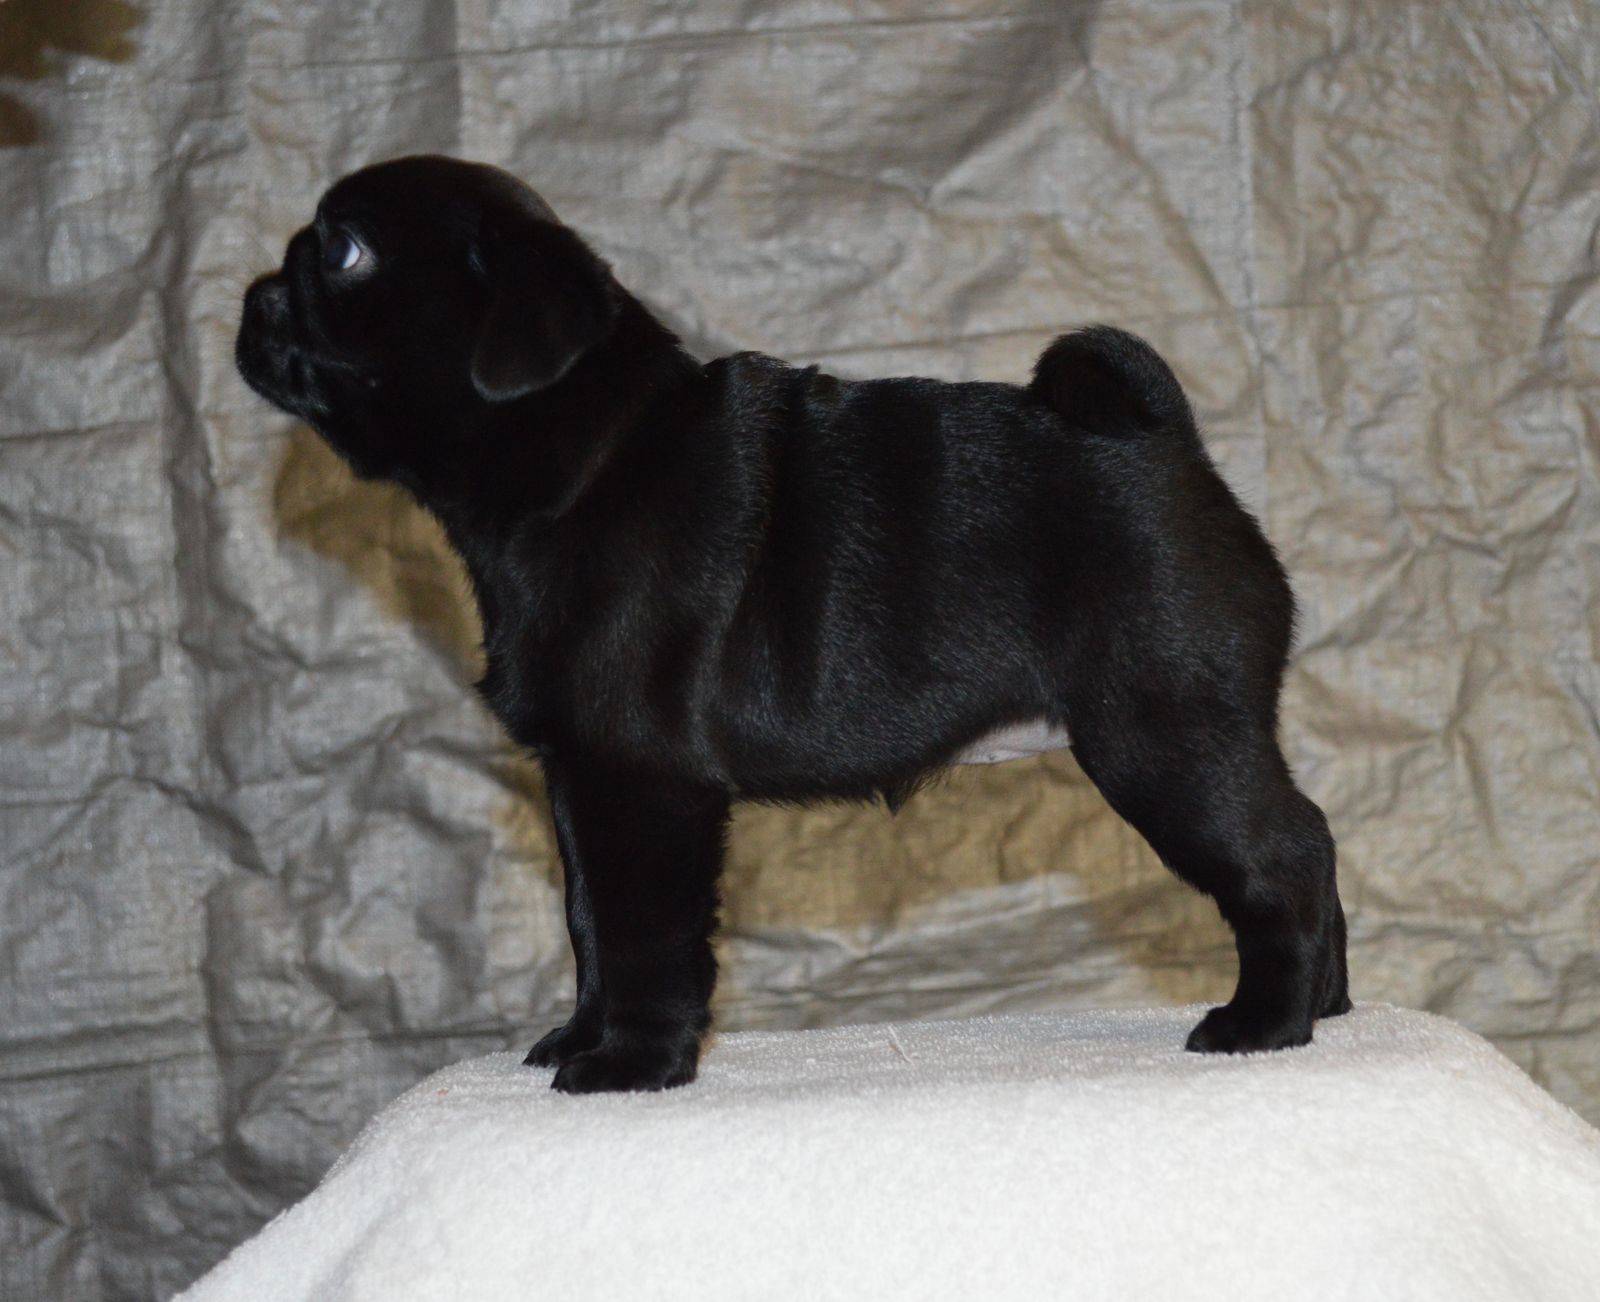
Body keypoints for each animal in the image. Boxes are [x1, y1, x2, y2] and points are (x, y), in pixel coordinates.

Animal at [236, 155, 1351, 1093]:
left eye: (343, 251)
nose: (252, 296)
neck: (585, 454)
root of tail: (1171, 446)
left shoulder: (639, 786)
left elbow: (640, 933)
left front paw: (631, 1065)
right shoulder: (580, 784)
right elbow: (587, 918)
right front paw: (580, 1037)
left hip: (1158, 734)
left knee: (1283, 856)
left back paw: (1267, 1023)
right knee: (1308, 839)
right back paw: (1332, 1007)